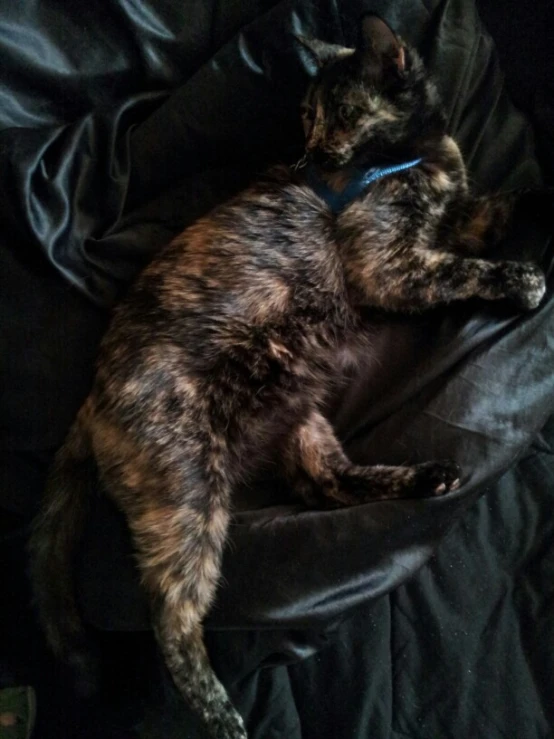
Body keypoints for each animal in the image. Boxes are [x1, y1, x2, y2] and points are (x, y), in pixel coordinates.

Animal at [30, 13, 544, 739]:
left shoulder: (451, 222)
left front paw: (540, 199)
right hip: (187, 489)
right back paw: (222, 715)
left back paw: (428, 476)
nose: (313, 154)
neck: (418, 153)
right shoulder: (388, 264)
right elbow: (464, 269)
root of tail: (91, 399)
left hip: (300, 418)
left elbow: (497, 206)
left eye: (343, 111)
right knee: (170, 613)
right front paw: (520, 279)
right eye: (308, 114)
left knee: (326, 483)